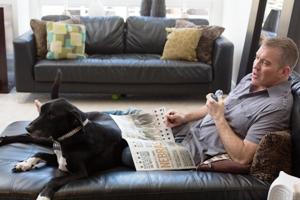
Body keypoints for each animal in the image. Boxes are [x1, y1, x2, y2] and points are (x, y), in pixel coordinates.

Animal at [0, 70, 125, 200]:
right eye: (40, 112)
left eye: (52, 115)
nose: (28, 128)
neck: (73, 137)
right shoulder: (58, 158)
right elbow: (39, 153)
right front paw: (24, 164)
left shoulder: (79, 172)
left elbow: (54, 180)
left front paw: (43, 196)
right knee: (27, 137)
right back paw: (2, 140)